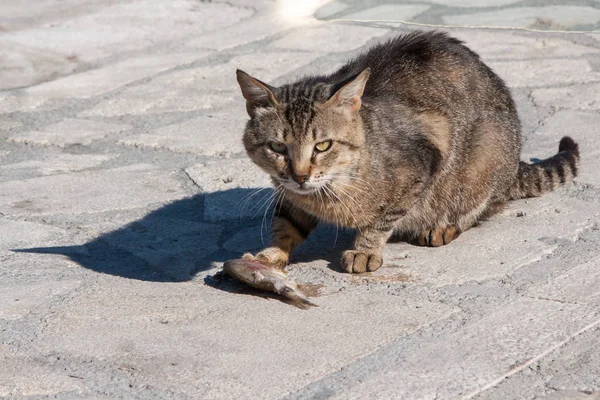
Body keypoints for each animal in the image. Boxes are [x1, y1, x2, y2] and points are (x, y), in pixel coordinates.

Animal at [233, 30, 576, 276]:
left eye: (323, 145)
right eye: (278, 147)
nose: (301, 175)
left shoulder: (422, 161)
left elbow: (383, 219)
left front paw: (365, 250)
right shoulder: (289, 194)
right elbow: (286, 223)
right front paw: (271, 254)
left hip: (486, 156)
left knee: (485, 207)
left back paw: (443, 226)